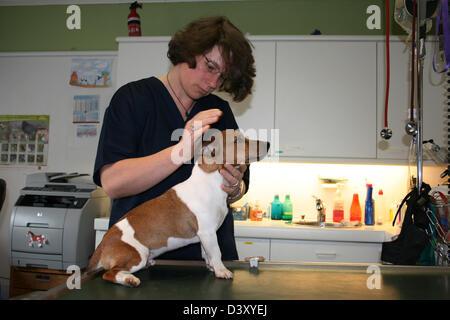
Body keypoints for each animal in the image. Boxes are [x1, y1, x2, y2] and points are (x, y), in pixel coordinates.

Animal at [88, 130, 270, 288]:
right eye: (237, 140)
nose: (268, 144)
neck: (210, 181)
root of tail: (103, 243)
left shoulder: (205, 236)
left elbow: (207, 254)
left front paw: (212, 267)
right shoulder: (208, 232)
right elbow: (216, 252)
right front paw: (221, 271)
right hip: (137, 254)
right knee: (109, 273)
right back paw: (129, 280)